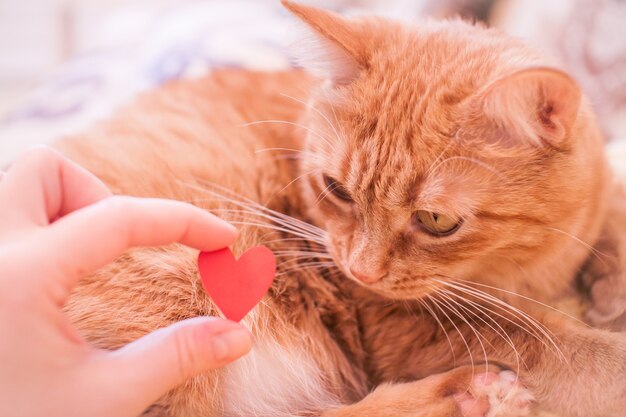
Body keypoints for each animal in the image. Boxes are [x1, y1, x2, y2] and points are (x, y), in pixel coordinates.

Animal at [56, 2, 620, 416]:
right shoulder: (394, 324)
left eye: (436, 221)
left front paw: (609, 283)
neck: (536, 267)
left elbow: (612, 202)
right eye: (337, 189)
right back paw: (466, 396)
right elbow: (539, 338)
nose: (359, 271)